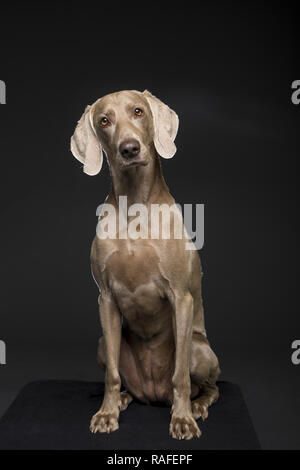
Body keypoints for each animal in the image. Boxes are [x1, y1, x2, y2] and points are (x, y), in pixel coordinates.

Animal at [70, 90, 220, 438]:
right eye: (104, 121)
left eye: (138, 111)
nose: (129, 148)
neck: (134, 205)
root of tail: (154, 396)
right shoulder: (106, 299)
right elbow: (111, 374)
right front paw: (106, 413)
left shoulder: (181, 297)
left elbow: (180, 376)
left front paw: (182, 420)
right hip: (103, 343)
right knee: (125, 380)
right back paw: (125, 400)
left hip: (197, 346)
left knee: (208, 386)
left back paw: (196, 406)